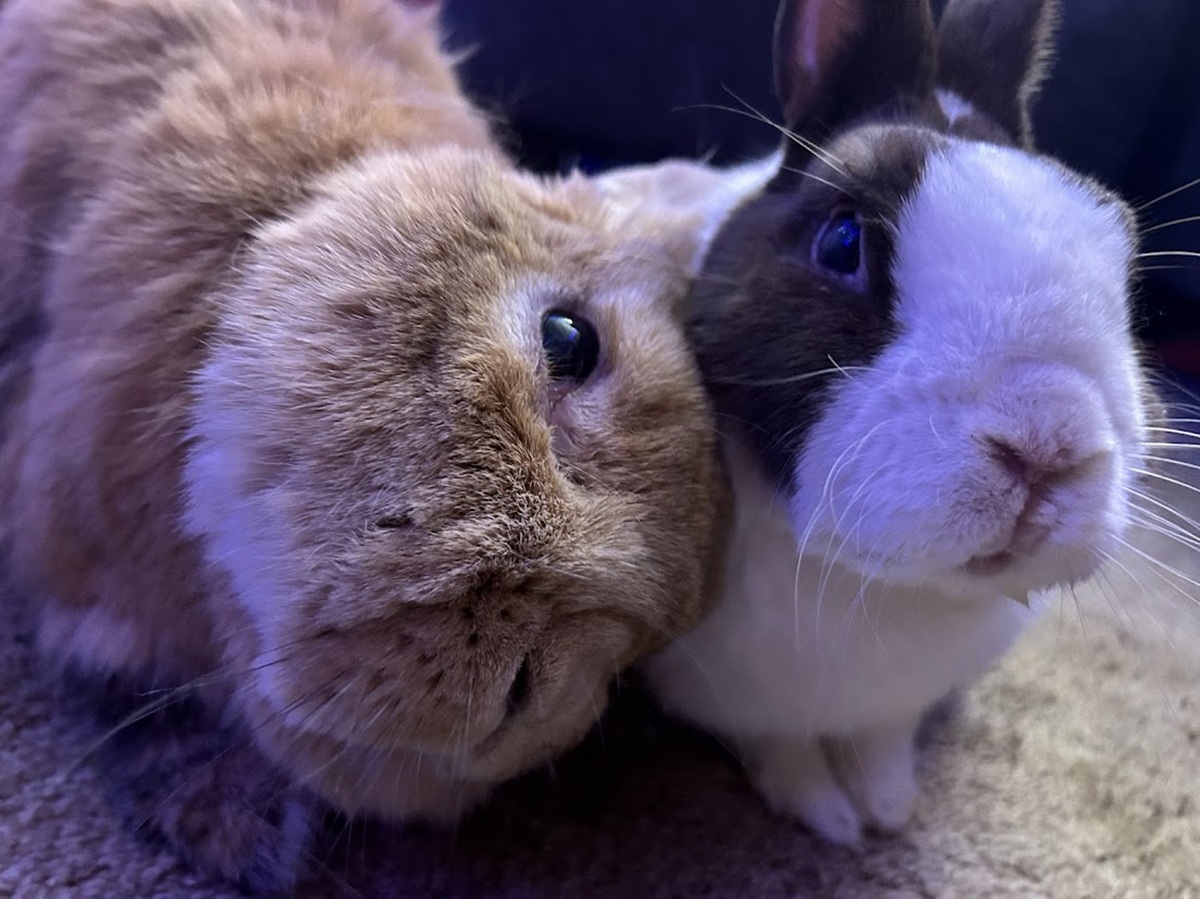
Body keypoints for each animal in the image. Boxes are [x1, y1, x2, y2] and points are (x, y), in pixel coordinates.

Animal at [641, 0, 1158, 846]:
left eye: (1122, 262)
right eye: (843, 241)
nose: (1048, 446)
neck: (877, 587)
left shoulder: (898, 705)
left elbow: (884, 739)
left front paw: (888, 806)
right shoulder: (746, 698)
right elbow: (782, 746)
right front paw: (829, 819)